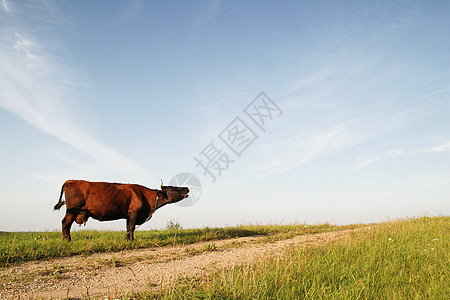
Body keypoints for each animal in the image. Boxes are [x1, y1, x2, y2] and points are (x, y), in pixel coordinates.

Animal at [53, 180, 189, 241]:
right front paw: (131, 241)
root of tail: (70, 180)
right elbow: (131, 227)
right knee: (65, 223)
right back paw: (67, 240)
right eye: (173, 188)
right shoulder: (134, 212)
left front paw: (128, 239)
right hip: (72, 210)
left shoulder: (128, 215)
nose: (187, 188)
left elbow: (128, 227)